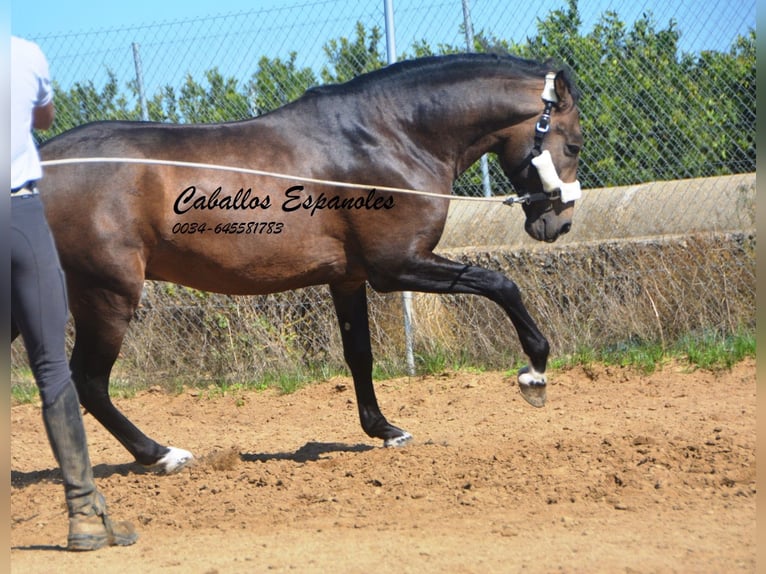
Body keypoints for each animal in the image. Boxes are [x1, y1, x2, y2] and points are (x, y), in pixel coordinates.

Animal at [31, 54, 584, 474]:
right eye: (574, 143)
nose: (558, 224)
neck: (392, 136)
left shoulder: (349, 278)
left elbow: (359, 354)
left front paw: (385, 430)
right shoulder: (397, 267)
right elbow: (500, 283)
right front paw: (534, 375)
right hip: (109, 293)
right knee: (89, 382)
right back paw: (162, 455)